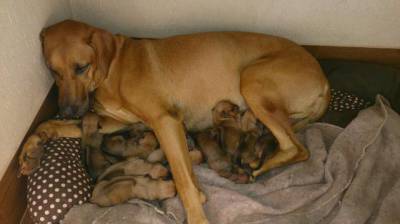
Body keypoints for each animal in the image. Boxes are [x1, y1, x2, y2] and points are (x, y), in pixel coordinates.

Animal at [19, 19, 328, 224]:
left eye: (81, 67)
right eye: (53, 71)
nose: (69, 111)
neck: (113, 65)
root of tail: (324, 80)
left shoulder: (164, 121)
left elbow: (183, 180)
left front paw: (197, 213)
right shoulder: (107, 122)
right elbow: (47, 126)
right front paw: (31, 150)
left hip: (252, 80)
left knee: (298, 149)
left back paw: (258, 168)